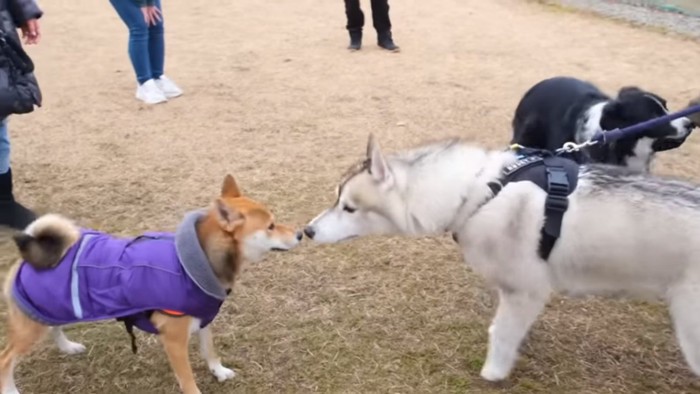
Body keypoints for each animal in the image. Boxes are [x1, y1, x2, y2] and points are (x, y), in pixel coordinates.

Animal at [306, 135, 700, 382]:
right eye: (336, 199)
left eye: (349, 208)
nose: (307, 231)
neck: (477, 192)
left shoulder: (524, 289)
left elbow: (500, 334)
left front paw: (494, 372)